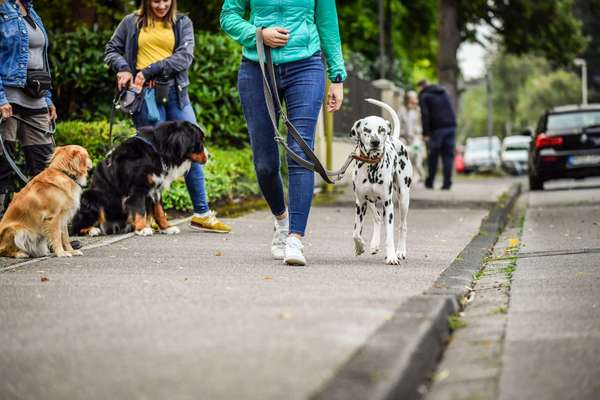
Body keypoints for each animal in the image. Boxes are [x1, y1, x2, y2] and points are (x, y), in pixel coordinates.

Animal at [72, 120, 206, 236]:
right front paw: (142, 229)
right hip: (90, 197)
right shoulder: (137, 188)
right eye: (199, 142)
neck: (156, 150)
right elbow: (139, 210)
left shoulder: (156, 188)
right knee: (75, 228)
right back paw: (92, 230)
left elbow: (159, 211)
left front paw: (167, 227)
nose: (208, 156)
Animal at [352, 98, 412, 264]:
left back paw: (401, 251)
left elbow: (390, 234)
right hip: (370, 201)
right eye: (366, 129)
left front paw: (391, 256)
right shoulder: (360, 203)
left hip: (403, 198)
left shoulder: (388, 204)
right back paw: (374, 244)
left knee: (403, 226)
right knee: (377, 217)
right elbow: (356, 233)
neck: (372, 166)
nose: (375, 142)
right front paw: (360, 247)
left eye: (382, 130)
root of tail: (395, 138)